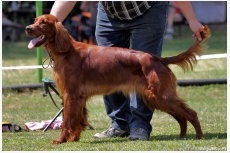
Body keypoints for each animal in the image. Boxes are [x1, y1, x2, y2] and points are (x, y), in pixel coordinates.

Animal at [25, 14, 210, 143]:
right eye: (35, 20)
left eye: (44, 22)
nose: (28, 28)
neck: (67, 51)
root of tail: (159, 59)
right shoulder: (78, 97)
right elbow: (78, 119)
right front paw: (73, 139)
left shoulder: (71, 95)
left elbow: (67, 121)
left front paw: (61, 140)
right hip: (156, 97)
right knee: (181, 116)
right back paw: (182, 135)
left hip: (160, 95)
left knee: (190, 113)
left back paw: (199, 136)